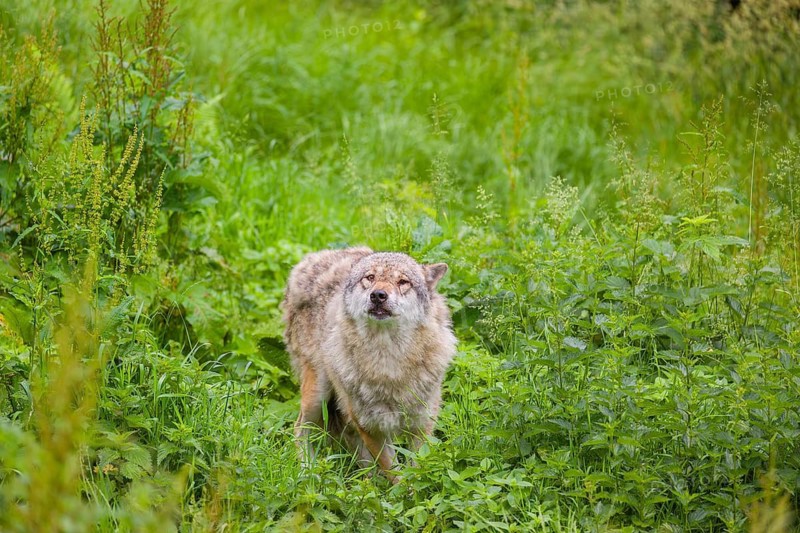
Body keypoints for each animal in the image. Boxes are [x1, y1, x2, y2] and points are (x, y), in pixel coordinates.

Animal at [282, 247, 456, 482]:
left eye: (403, 281)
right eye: (370, 278)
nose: (378, 295)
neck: (389, 363)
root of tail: (311, 259)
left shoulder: (422, 424)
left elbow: (416, 467)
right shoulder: (371, 427)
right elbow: (395, 471)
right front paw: (403, 490)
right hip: (317, 396)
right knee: (299, 428)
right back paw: (308, 472)